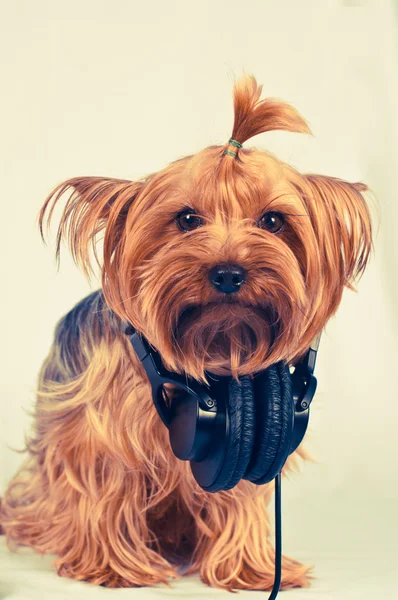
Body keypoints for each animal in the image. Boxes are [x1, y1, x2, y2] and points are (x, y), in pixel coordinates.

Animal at [0, 74, 374, 592]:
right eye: (187, 219)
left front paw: (251, 568)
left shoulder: (252, 436)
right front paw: (116, 568)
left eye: (273, 221)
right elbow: (107, 481)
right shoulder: (100, 432)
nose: (228, 272)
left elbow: (239, 491)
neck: (215, 346)